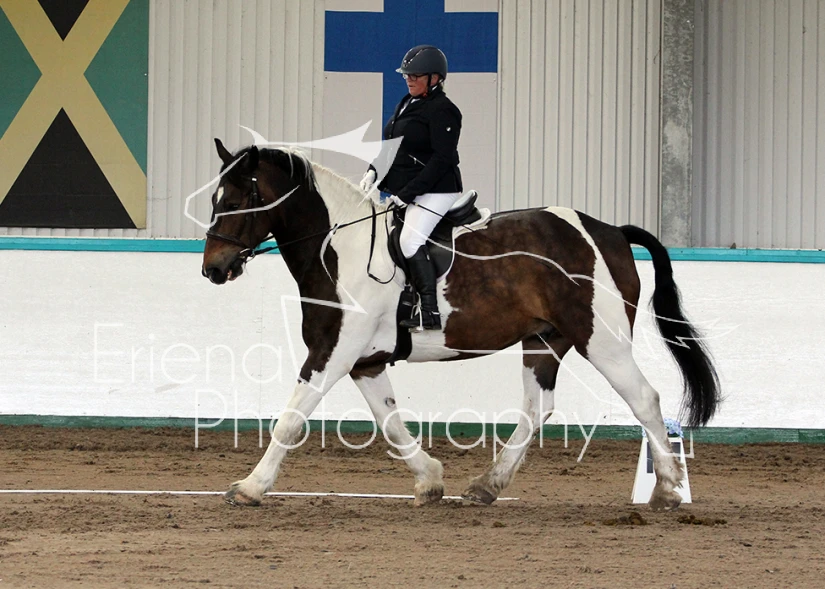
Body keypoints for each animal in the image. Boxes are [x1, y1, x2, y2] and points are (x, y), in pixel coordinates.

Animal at [201, 139, 720, 511]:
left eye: (245, 197)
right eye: (214, 198)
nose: (213, 268)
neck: (337, 248)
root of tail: (610, 231)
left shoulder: (333, 352)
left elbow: (290, 420)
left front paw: (249, 487)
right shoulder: (365, 361)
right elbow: (390, 422)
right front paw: (430, 481)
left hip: (603, 341)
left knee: (645, 400)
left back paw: (667, 491)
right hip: (544, 341)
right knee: (537, 409)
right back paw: (486, 486)